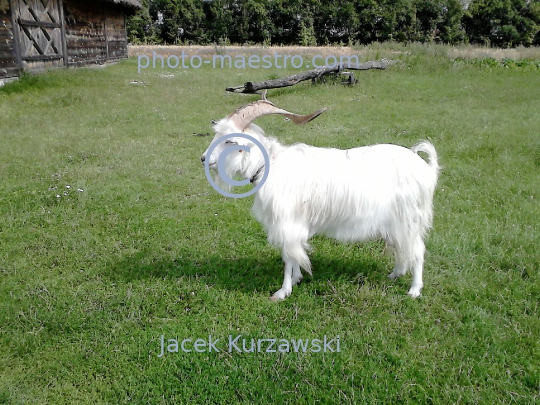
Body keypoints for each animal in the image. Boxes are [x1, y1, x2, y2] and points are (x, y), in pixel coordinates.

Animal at [199, 97, 438, 300]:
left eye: (230, 141)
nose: (203, 159)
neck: (269, 164)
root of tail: (427, 168)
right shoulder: (294, 224)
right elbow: (294, 252)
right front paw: (297, 278)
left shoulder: (287, 221)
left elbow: (288, 256)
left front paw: (282, 292)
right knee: (403, 247)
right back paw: (395, 274)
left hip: (409, 217)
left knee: (417, 249)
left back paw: (414, 290)